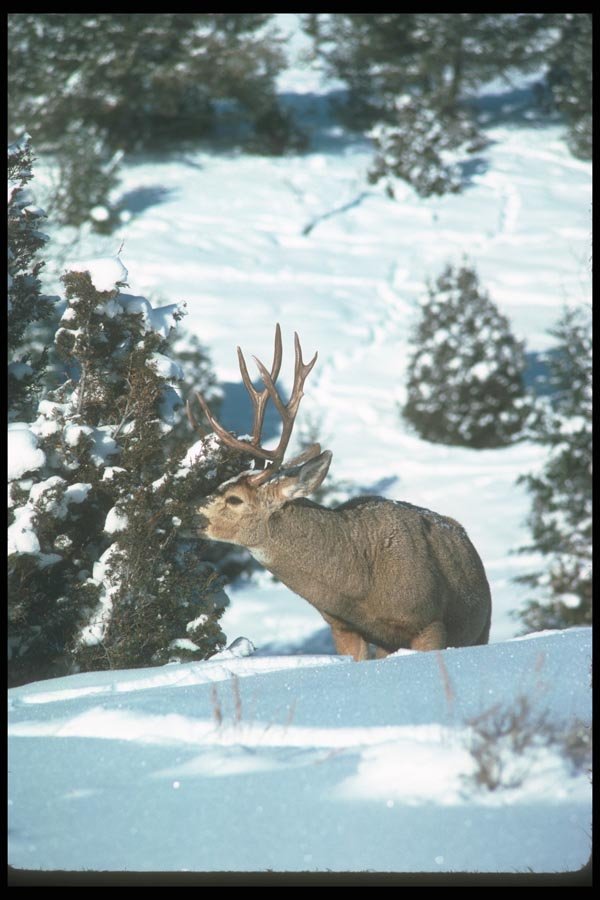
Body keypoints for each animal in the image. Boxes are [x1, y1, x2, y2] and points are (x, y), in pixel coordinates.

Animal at [188, 325, 492, 661]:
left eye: (234, 499)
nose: (186, 511)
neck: (360, 588)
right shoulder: (343, 627)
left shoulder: (429, 621)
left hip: (480, 629)